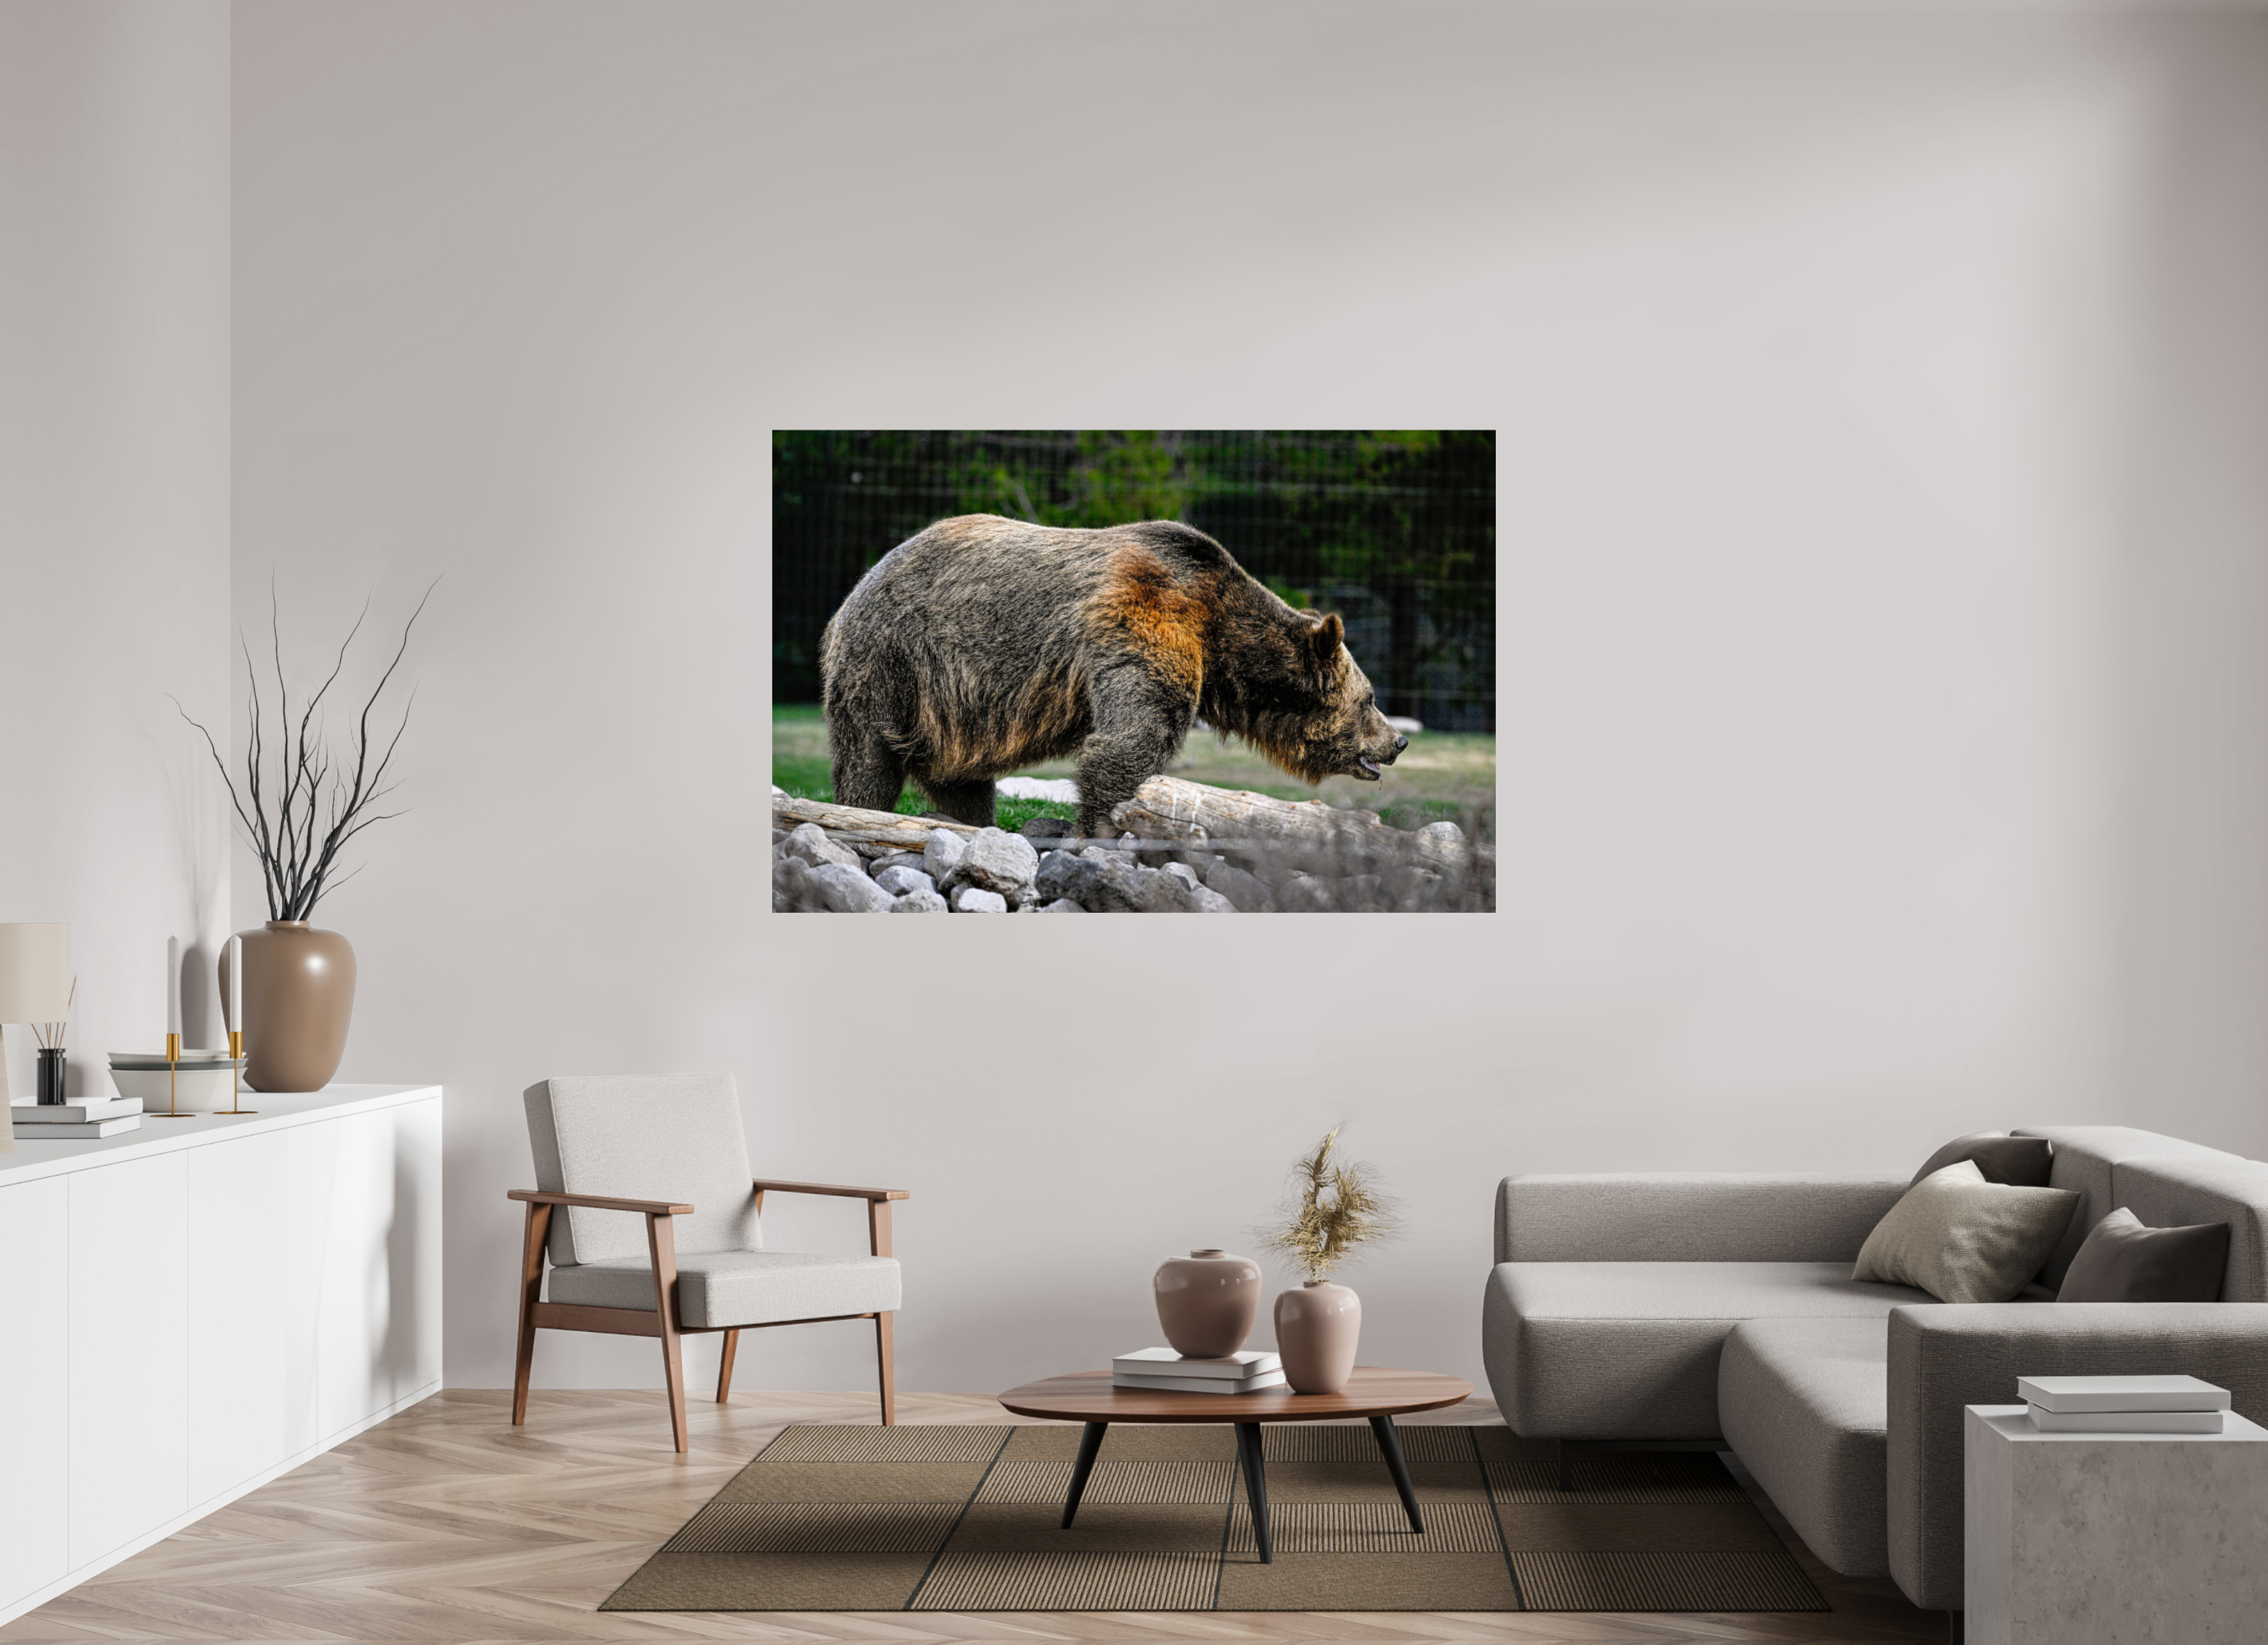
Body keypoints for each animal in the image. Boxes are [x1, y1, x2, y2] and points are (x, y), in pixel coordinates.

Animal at [820, 514, 1408, 839]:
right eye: (1369, 699)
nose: (1398, 741)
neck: (1219, 634)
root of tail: (862, 582)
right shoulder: (1146, 614)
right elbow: (1132, 740)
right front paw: (1106, 826)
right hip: (894, 658)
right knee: (869, 756)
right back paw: (860, 810)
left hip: (954, 705)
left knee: (962, 777)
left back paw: (972, 822)